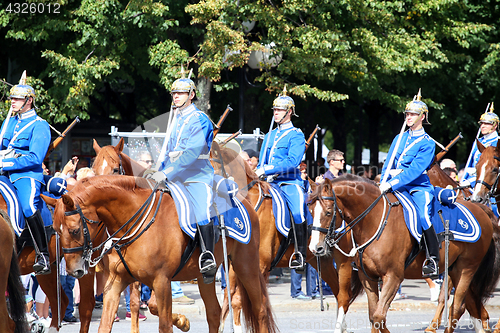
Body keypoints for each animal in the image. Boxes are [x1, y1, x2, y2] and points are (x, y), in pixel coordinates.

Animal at [43, 175, 278, 330]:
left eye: (74, 230)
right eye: (55, 230)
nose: (74, 271)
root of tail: (244, 201)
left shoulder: (162, 281)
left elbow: (164, 324)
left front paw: (181, 321)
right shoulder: (116, 282)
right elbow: (105, 324)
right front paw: (183, 321)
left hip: (246, 267)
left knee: (259, 310)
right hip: (205, 277)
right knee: (214, 313)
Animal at [209, 143, 362, 332]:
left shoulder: (260, 267)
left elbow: (254, 303)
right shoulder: (234, 266)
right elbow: (233, 300)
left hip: (343, 261)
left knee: (344, 296)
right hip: (321, 260)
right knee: (338, 292)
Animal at [308, 174, 500, 332]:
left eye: (328, 212)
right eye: (310, 211)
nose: (315, 247)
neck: (373, 221)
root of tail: (481, 209)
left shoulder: (393, 277)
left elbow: (378, 316)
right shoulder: (367, 277)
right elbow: (374, 316)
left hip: (466, 269)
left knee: (457, 307)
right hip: (454, 270)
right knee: (465, 306)